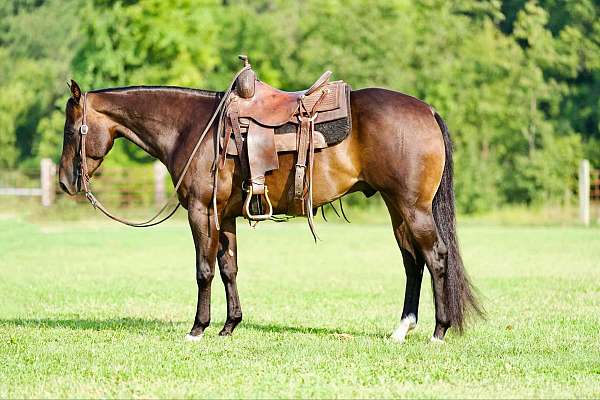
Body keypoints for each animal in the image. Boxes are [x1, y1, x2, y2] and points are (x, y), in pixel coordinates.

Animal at [58, 57, 480, 344]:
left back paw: (439, 331)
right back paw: (402, 329)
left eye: (69, 130)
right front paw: (229, 325)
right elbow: (228, 268)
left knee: (435, 257)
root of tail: (427, 109)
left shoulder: (200, 212)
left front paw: (197, 328)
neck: (192, 128)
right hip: (397, 208)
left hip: (413, 208)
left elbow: (204, 270)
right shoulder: (224, 217)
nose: (64, 181)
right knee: (412, 262)